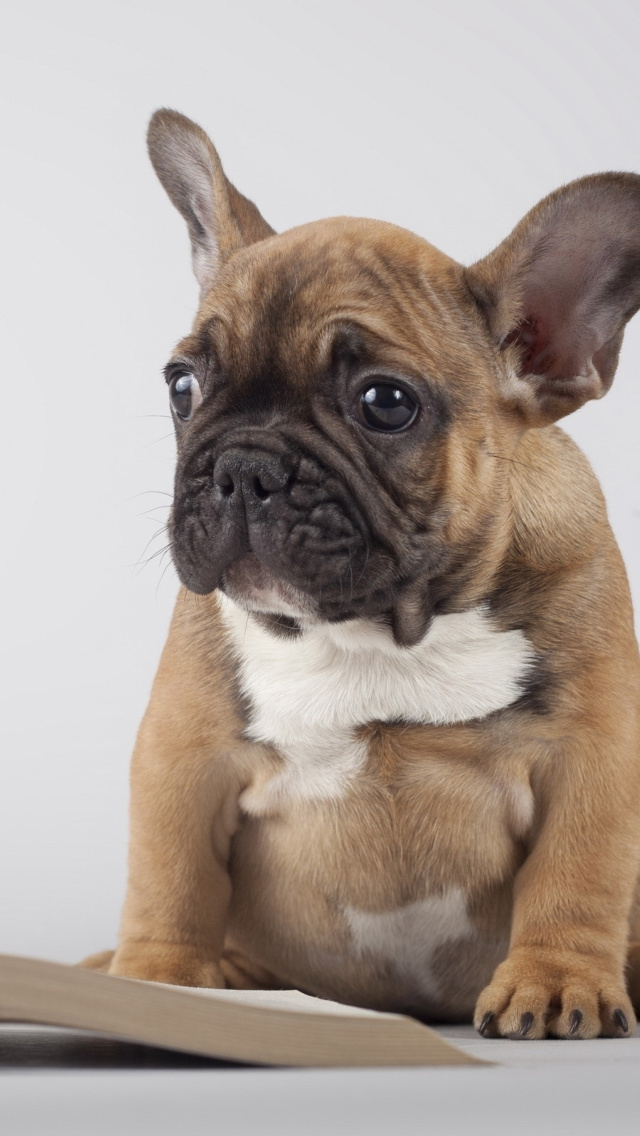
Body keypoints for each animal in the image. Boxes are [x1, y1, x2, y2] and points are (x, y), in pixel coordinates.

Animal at [91, 108, 640, 1040]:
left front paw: (556, 980)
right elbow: (170, 879)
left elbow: (576, 876)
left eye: (386, 403)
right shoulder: (182, 755)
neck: (381, 630)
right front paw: (160, 983)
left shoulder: (591, 759)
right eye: (182, 385)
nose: (243, 466)